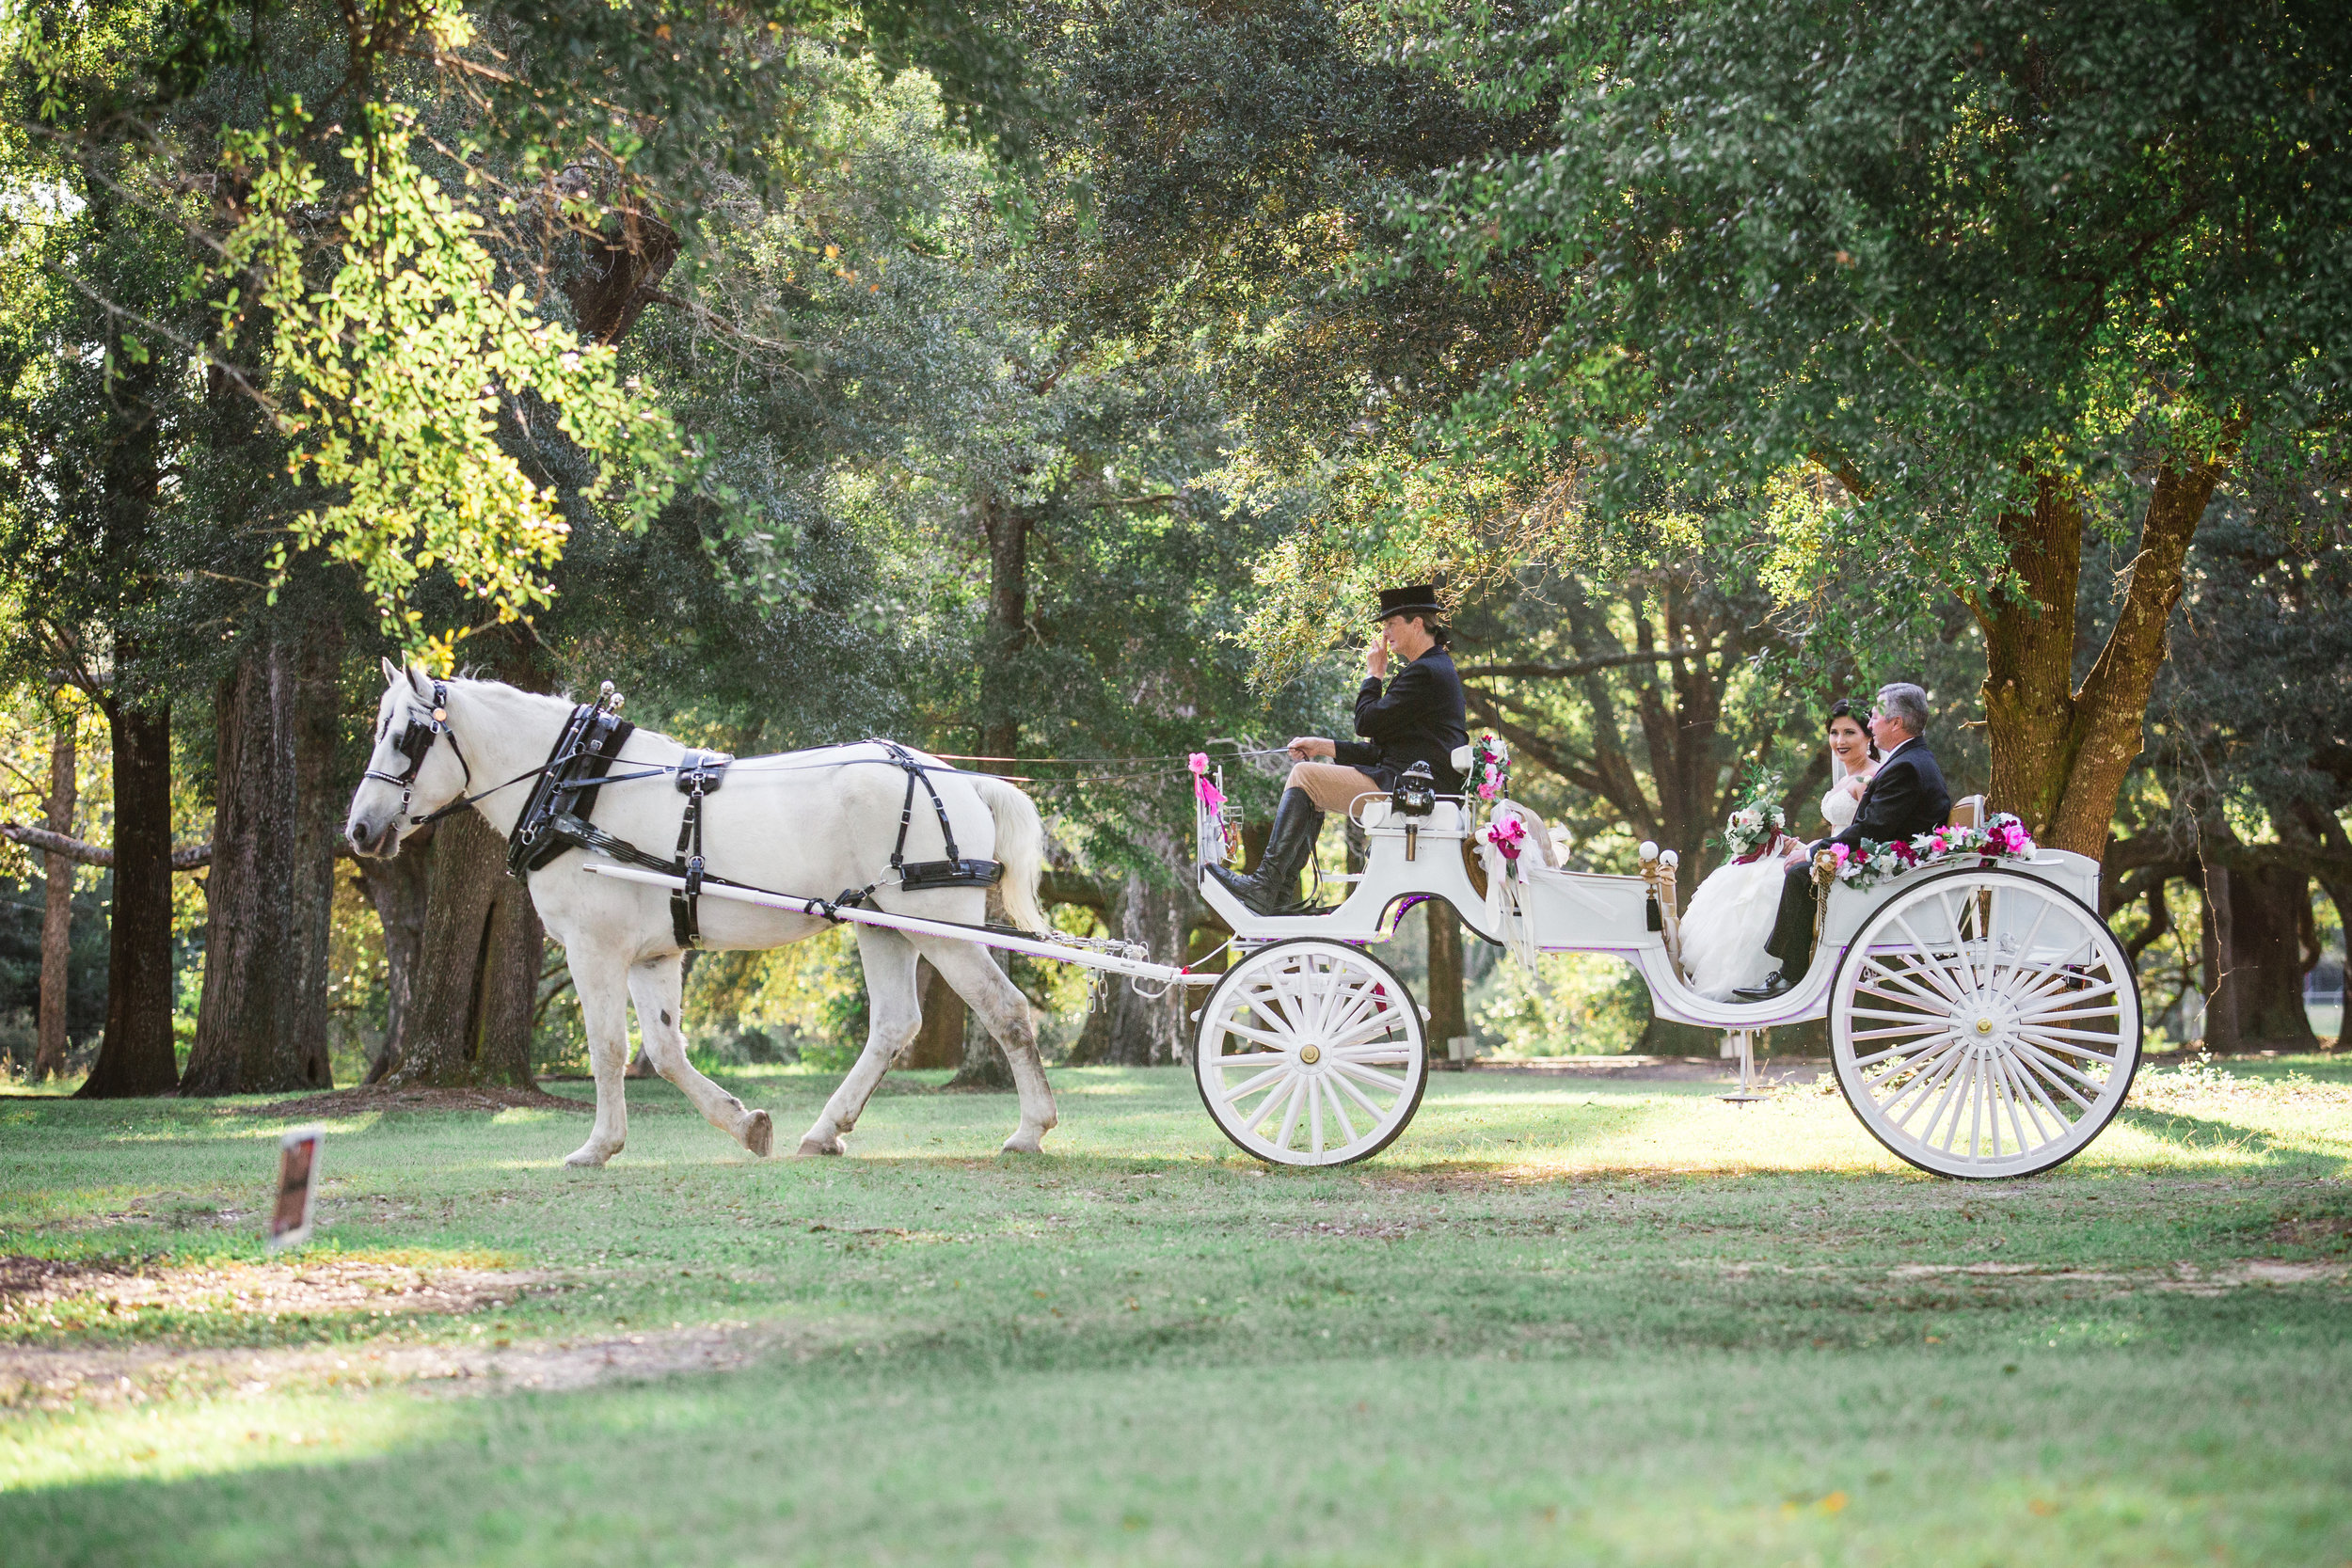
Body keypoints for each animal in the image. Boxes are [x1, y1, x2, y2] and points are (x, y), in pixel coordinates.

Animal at [343, 662, 1058, 1165]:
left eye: (405, 735)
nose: (359, 829)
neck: (577, 786)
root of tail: (961, 779)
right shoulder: (654, 955)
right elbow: (664, 1052)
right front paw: (745, 1124)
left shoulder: (594, 949)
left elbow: (608, 1047)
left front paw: (597, 1146)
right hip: (886, 925)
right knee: (893, 1024)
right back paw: (825, 1131)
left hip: (940, 926)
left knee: (1006, 1011)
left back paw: (1031, 1129)